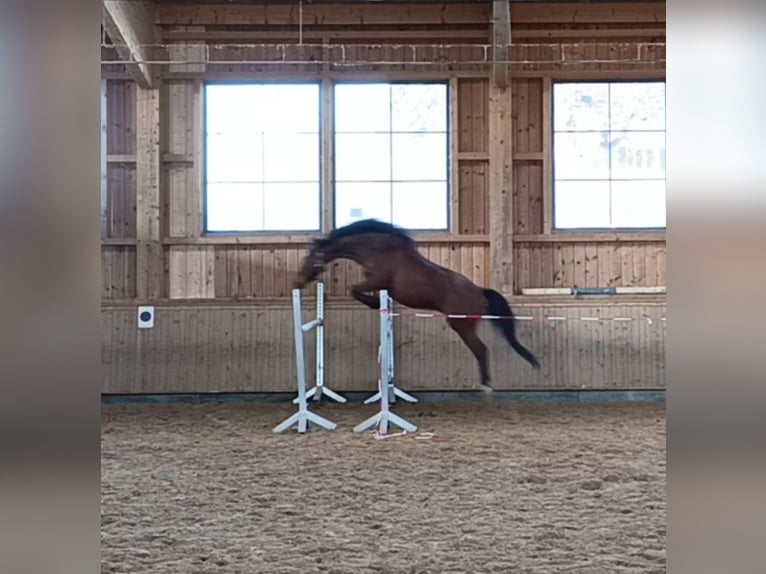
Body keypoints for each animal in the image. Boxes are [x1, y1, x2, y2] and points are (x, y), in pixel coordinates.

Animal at [292, 219, 540, 392]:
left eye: (309, 259)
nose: (297, 282)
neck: (375, 249)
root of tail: (479, 291)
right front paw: (378, 304)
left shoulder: (377, 281)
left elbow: (354, 289)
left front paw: (374, 303)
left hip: (461, 325)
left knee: (481, 349)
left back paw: (486, 385)